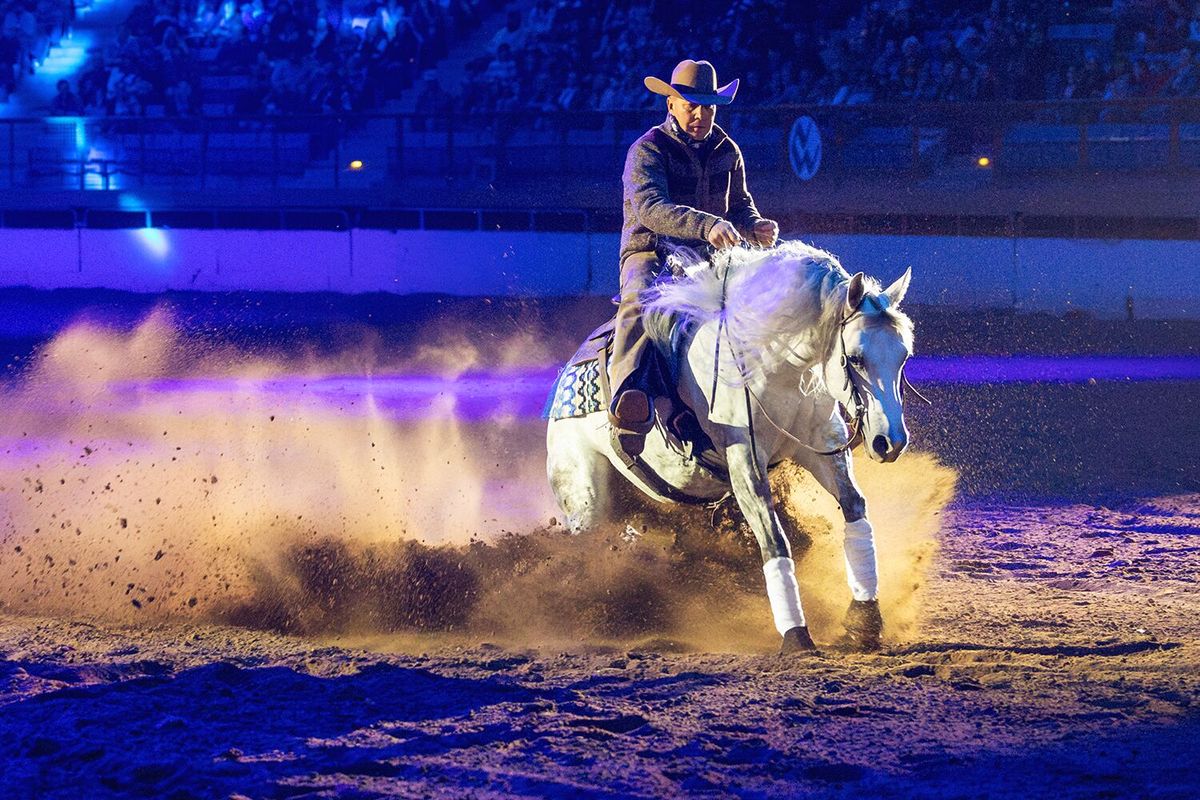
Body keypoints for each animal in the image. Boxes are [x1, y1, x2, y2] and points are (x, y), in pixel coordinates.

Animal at [549, 241, 912, 652]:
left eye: (903, 355)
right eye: (855, 358)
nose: (890, 442)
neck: (773, 362)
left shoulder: (823, 446)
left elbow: (855, 509)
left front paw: (864, 620)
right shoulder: (745, 461)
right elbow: (774, 540)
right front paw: (796, 635)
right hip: (585, 498)